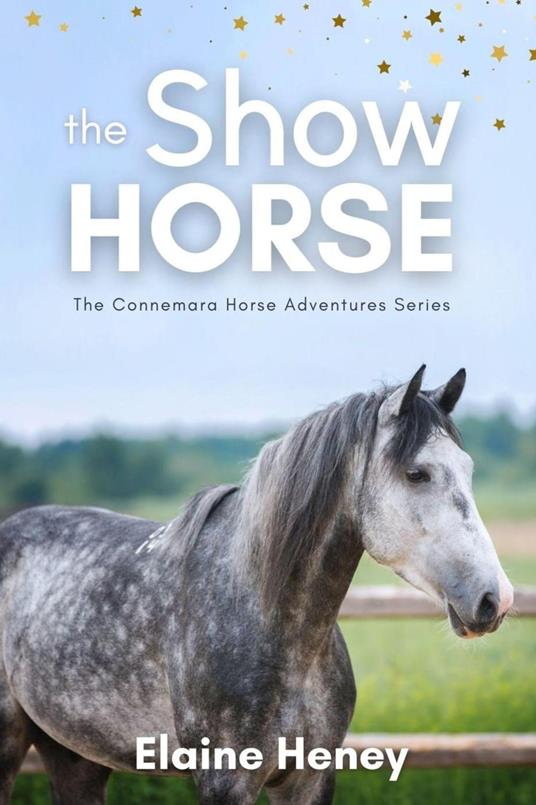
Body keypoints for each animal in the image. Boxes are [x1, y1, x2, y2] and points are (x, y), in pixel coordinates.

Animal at [0, 366, 513, 804]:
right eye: (416, 474)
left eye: (468, 470)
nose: (496, 599)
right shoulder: (226, 780)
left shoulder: (310, 778)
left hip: (75, 755)